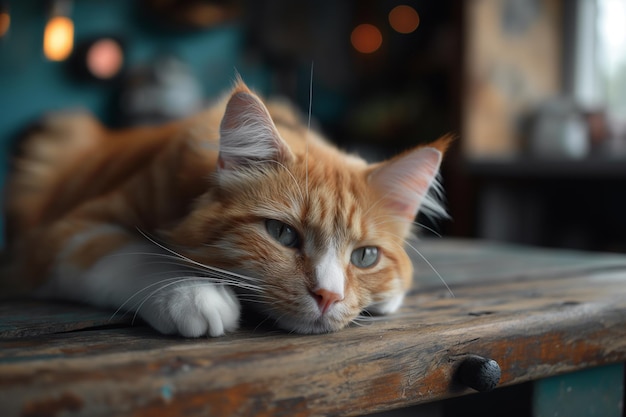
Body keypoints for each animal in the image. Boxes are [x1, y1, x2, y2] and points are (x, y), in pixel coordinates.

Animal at [1, 79, 448, 336]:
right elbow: (132, 251)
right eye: (282, 233)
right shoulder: (61, 235)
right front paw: (191, 294)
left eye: (366, 256)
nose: (327, 296)